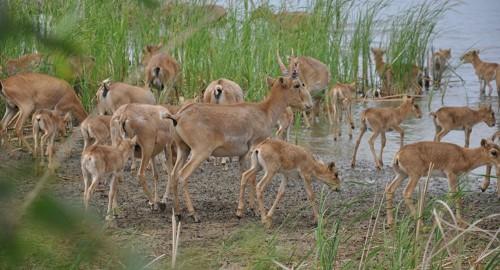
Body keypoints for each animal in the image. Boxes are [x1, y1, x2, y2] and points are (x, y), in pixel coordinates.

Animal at [161, 68, 312, 223]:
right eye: (297, 85)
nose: (309, 105)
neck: (264, 111)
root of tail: (178, 117)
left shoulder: (243, 155)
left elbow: (243, 175)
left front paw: (244, 209)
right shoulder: (254, 147)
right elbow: (252, 178)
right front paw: (252, 210)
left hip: (183, 149)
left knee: (173, 174)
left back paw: (178, 213)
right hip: (200, 153)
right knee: (183, 175)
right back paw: (194, 214)